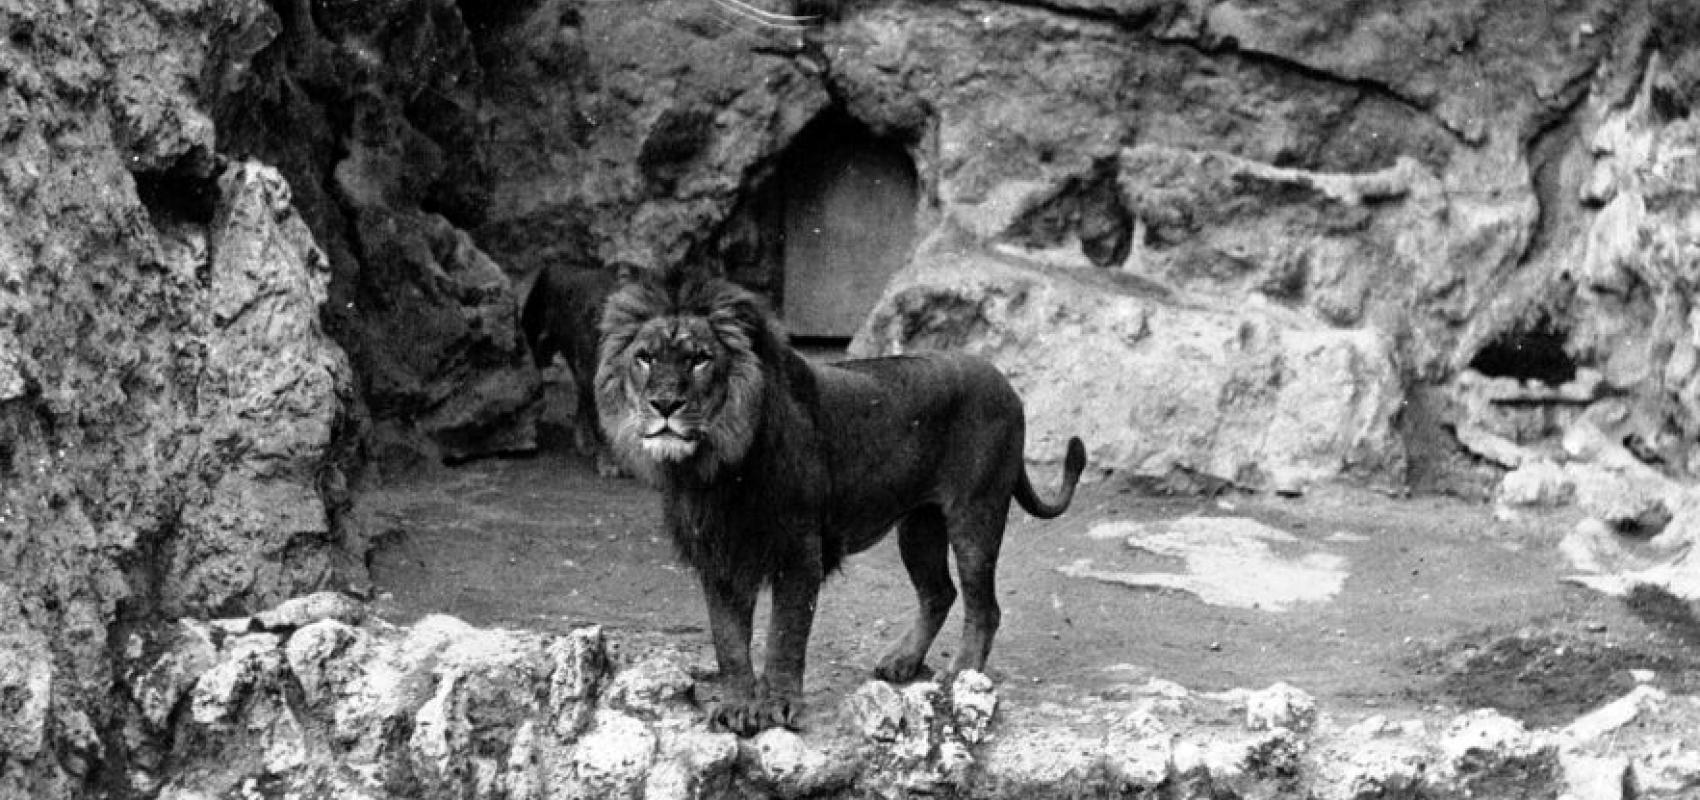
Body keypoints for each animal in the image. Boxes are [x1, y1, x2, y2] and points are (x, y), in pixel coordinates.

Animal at [595, 266, 1088, 737]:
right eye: (644, 358)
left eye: (700, 359)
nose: (664, 404)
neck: (715, 467)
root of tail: (1007, 385)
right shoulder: (720, 559)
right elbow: (729, 642)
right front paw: (737, 706)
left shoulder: (799, 552)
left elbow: (785, 635)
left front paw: (779, 705)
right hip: (918, 527)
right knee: (939, 593)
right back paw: (902, 662)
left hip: (976, 514)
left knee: (984, 607)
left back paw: (961, 675)